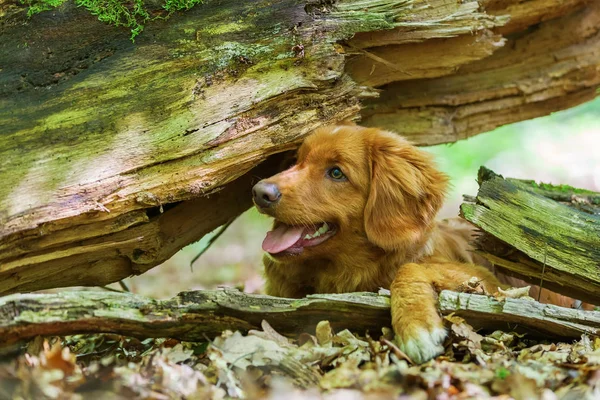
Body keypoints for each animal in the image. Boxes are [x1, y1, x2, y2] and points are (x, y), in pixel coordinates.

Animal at [250, 124, 568, 362]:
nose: (259, 192)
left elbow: (410, 269)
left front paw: (417, 326)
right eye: (296, 161)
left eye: (336, 172)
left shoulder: (490, 283)